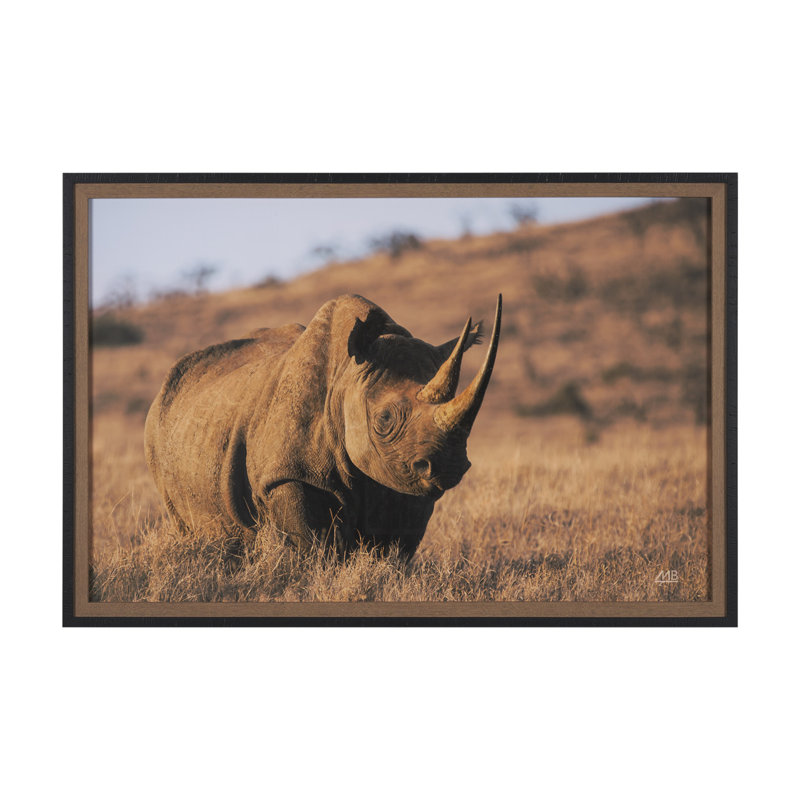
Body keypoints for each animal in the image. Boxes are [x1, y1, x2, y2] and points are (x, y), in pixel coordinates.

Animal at [144, 293, 501, 558]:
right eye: (384, 420)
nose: (448, 466)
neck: (347, 378)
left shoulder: (405, 480)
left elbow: (396, 548)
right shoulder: (289, 474)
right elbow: (314, 547)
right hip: (155, 433)